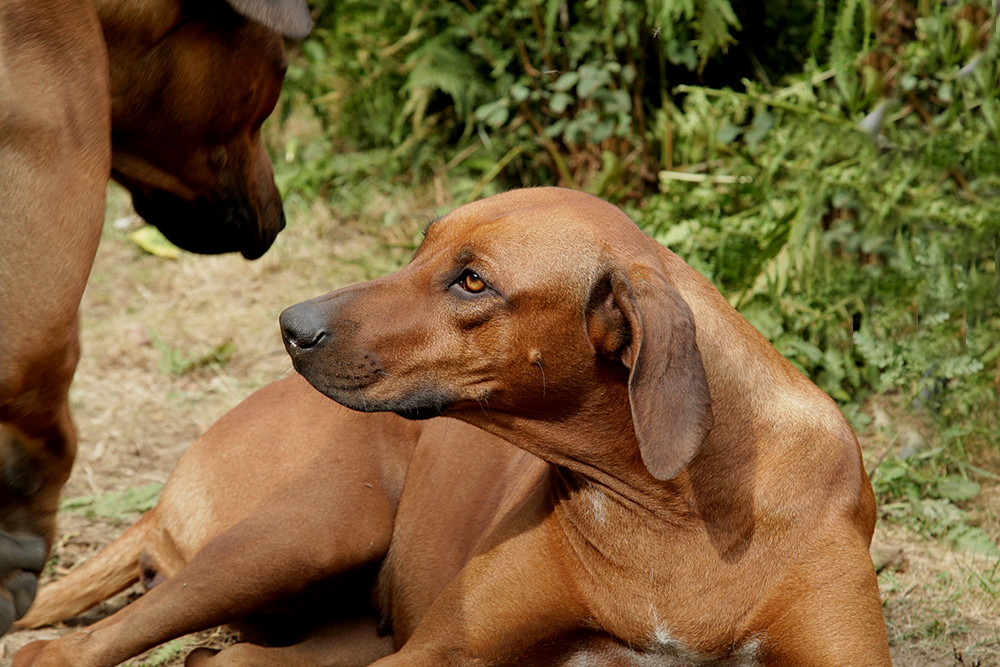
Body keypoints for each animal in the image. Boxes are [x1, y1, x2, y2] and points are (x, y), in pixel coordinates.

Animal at [13, 187, 892, 664]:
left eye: (473, 282)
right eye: (422, 245)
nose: (292, 325)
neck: (671, 514)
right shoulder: (439, 650)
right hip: (311, 529)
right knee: (64, 646)